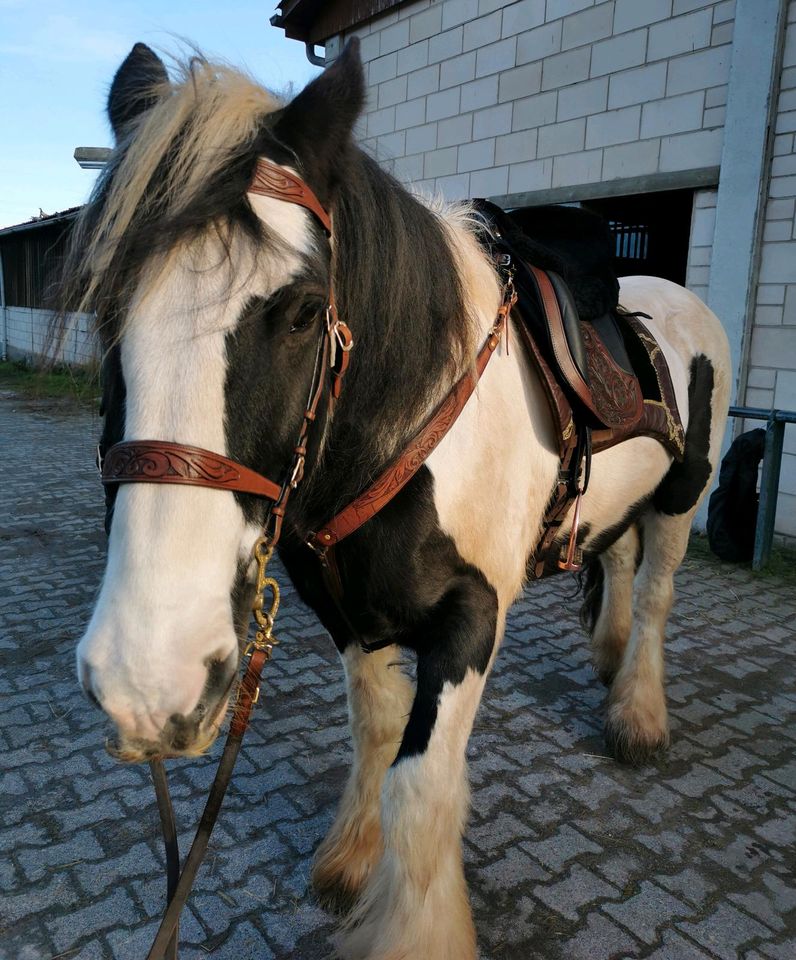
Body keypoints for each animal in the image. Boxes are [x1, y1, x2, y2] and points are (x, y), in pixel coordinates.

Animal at [62, 39, 732, 960]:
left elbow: (418, 791)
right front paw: (351, 859)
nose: (147, 682)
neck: (407, 423)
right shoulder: (345, 606)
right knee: (621, 561)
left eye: (304, 312)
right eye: (103, 304)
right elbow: (375, 733)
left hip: (683, 497)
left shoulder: (470, 618)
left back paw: (635, 715)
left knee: (660, 590)